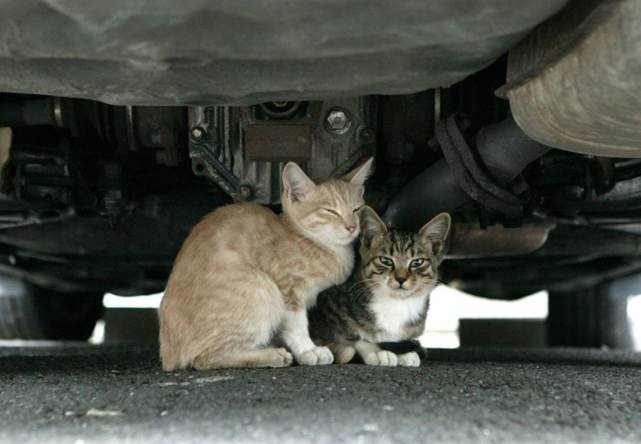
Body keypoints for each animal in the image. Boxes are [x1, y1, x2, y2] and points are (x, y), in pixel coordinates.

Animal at [157, 160, 372, 372]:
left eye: (356, 210)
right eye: (331, 211)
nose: (352, 227)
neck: (313, 241)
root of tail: (168, 356)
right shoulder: (287, 288)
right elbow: (297, 324)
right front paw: (307, 350)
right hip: (261, 288)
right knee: (202, 358)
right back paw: (271, 355)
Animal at [306, 208, 448, 368]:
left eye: (417, 262)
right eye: (386, 260)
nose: (401, 278)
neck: (395, 303)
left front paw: (406, 353)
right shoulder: (325, 308)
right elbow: (352, 336)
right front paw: (375, 350)